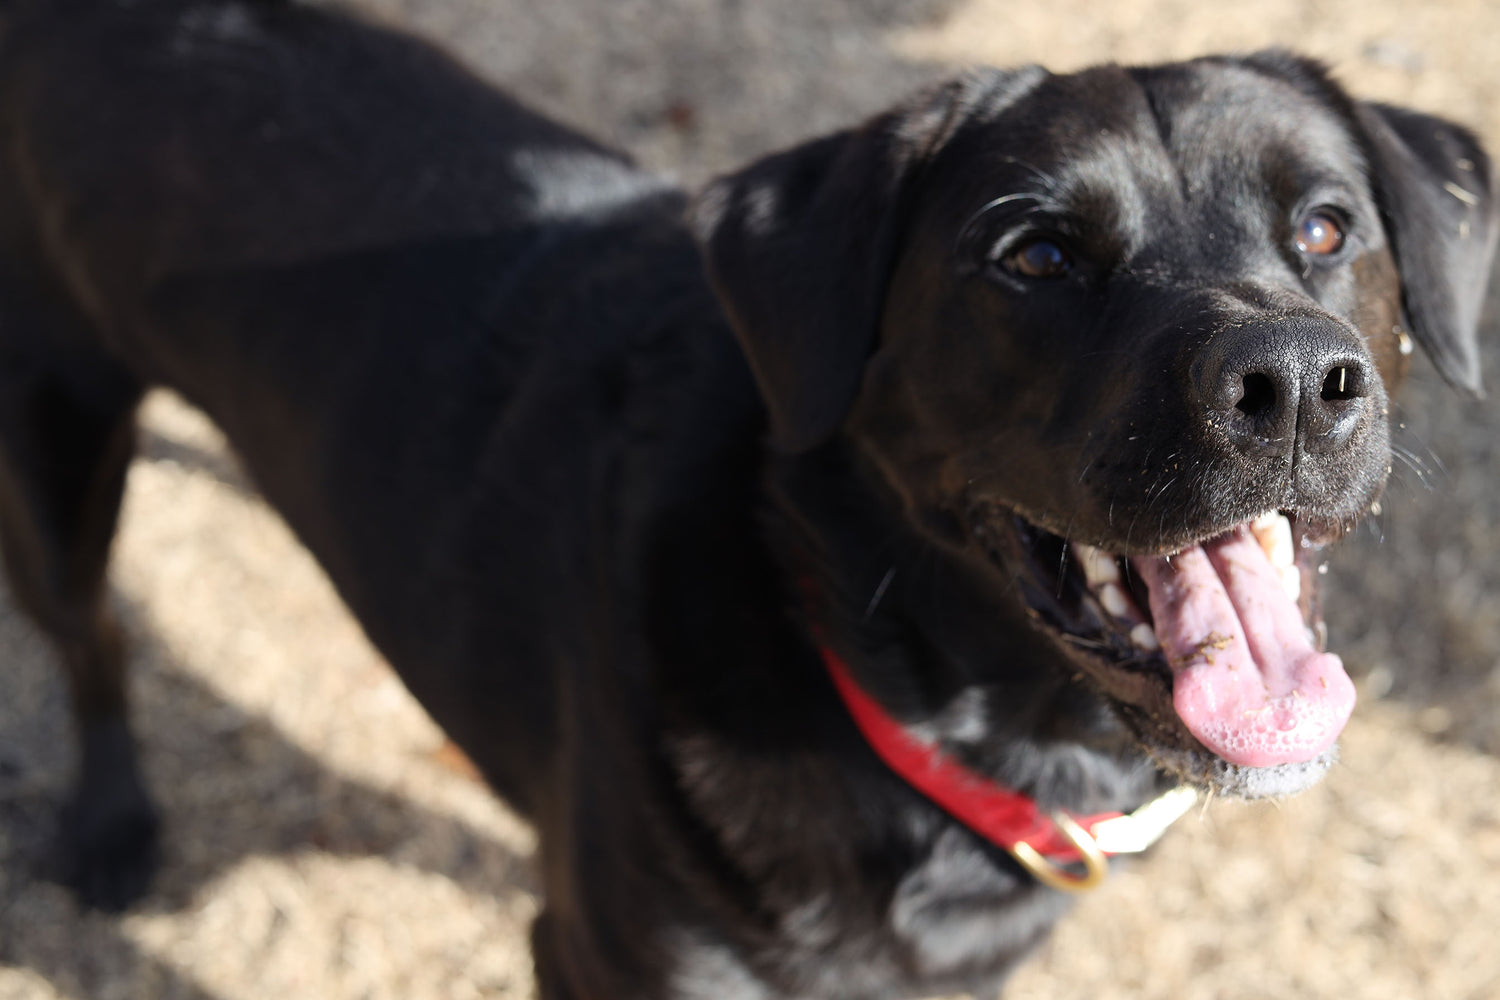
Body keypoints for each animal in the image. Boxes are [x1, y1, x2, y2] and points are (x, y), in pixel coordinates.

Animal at [2, 0, 1500, 995]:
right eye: (1033, 255)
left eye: (1325, 227)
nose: (1292, 384)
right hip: (52, 450)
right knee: (94, 636)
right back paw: (113, 827)